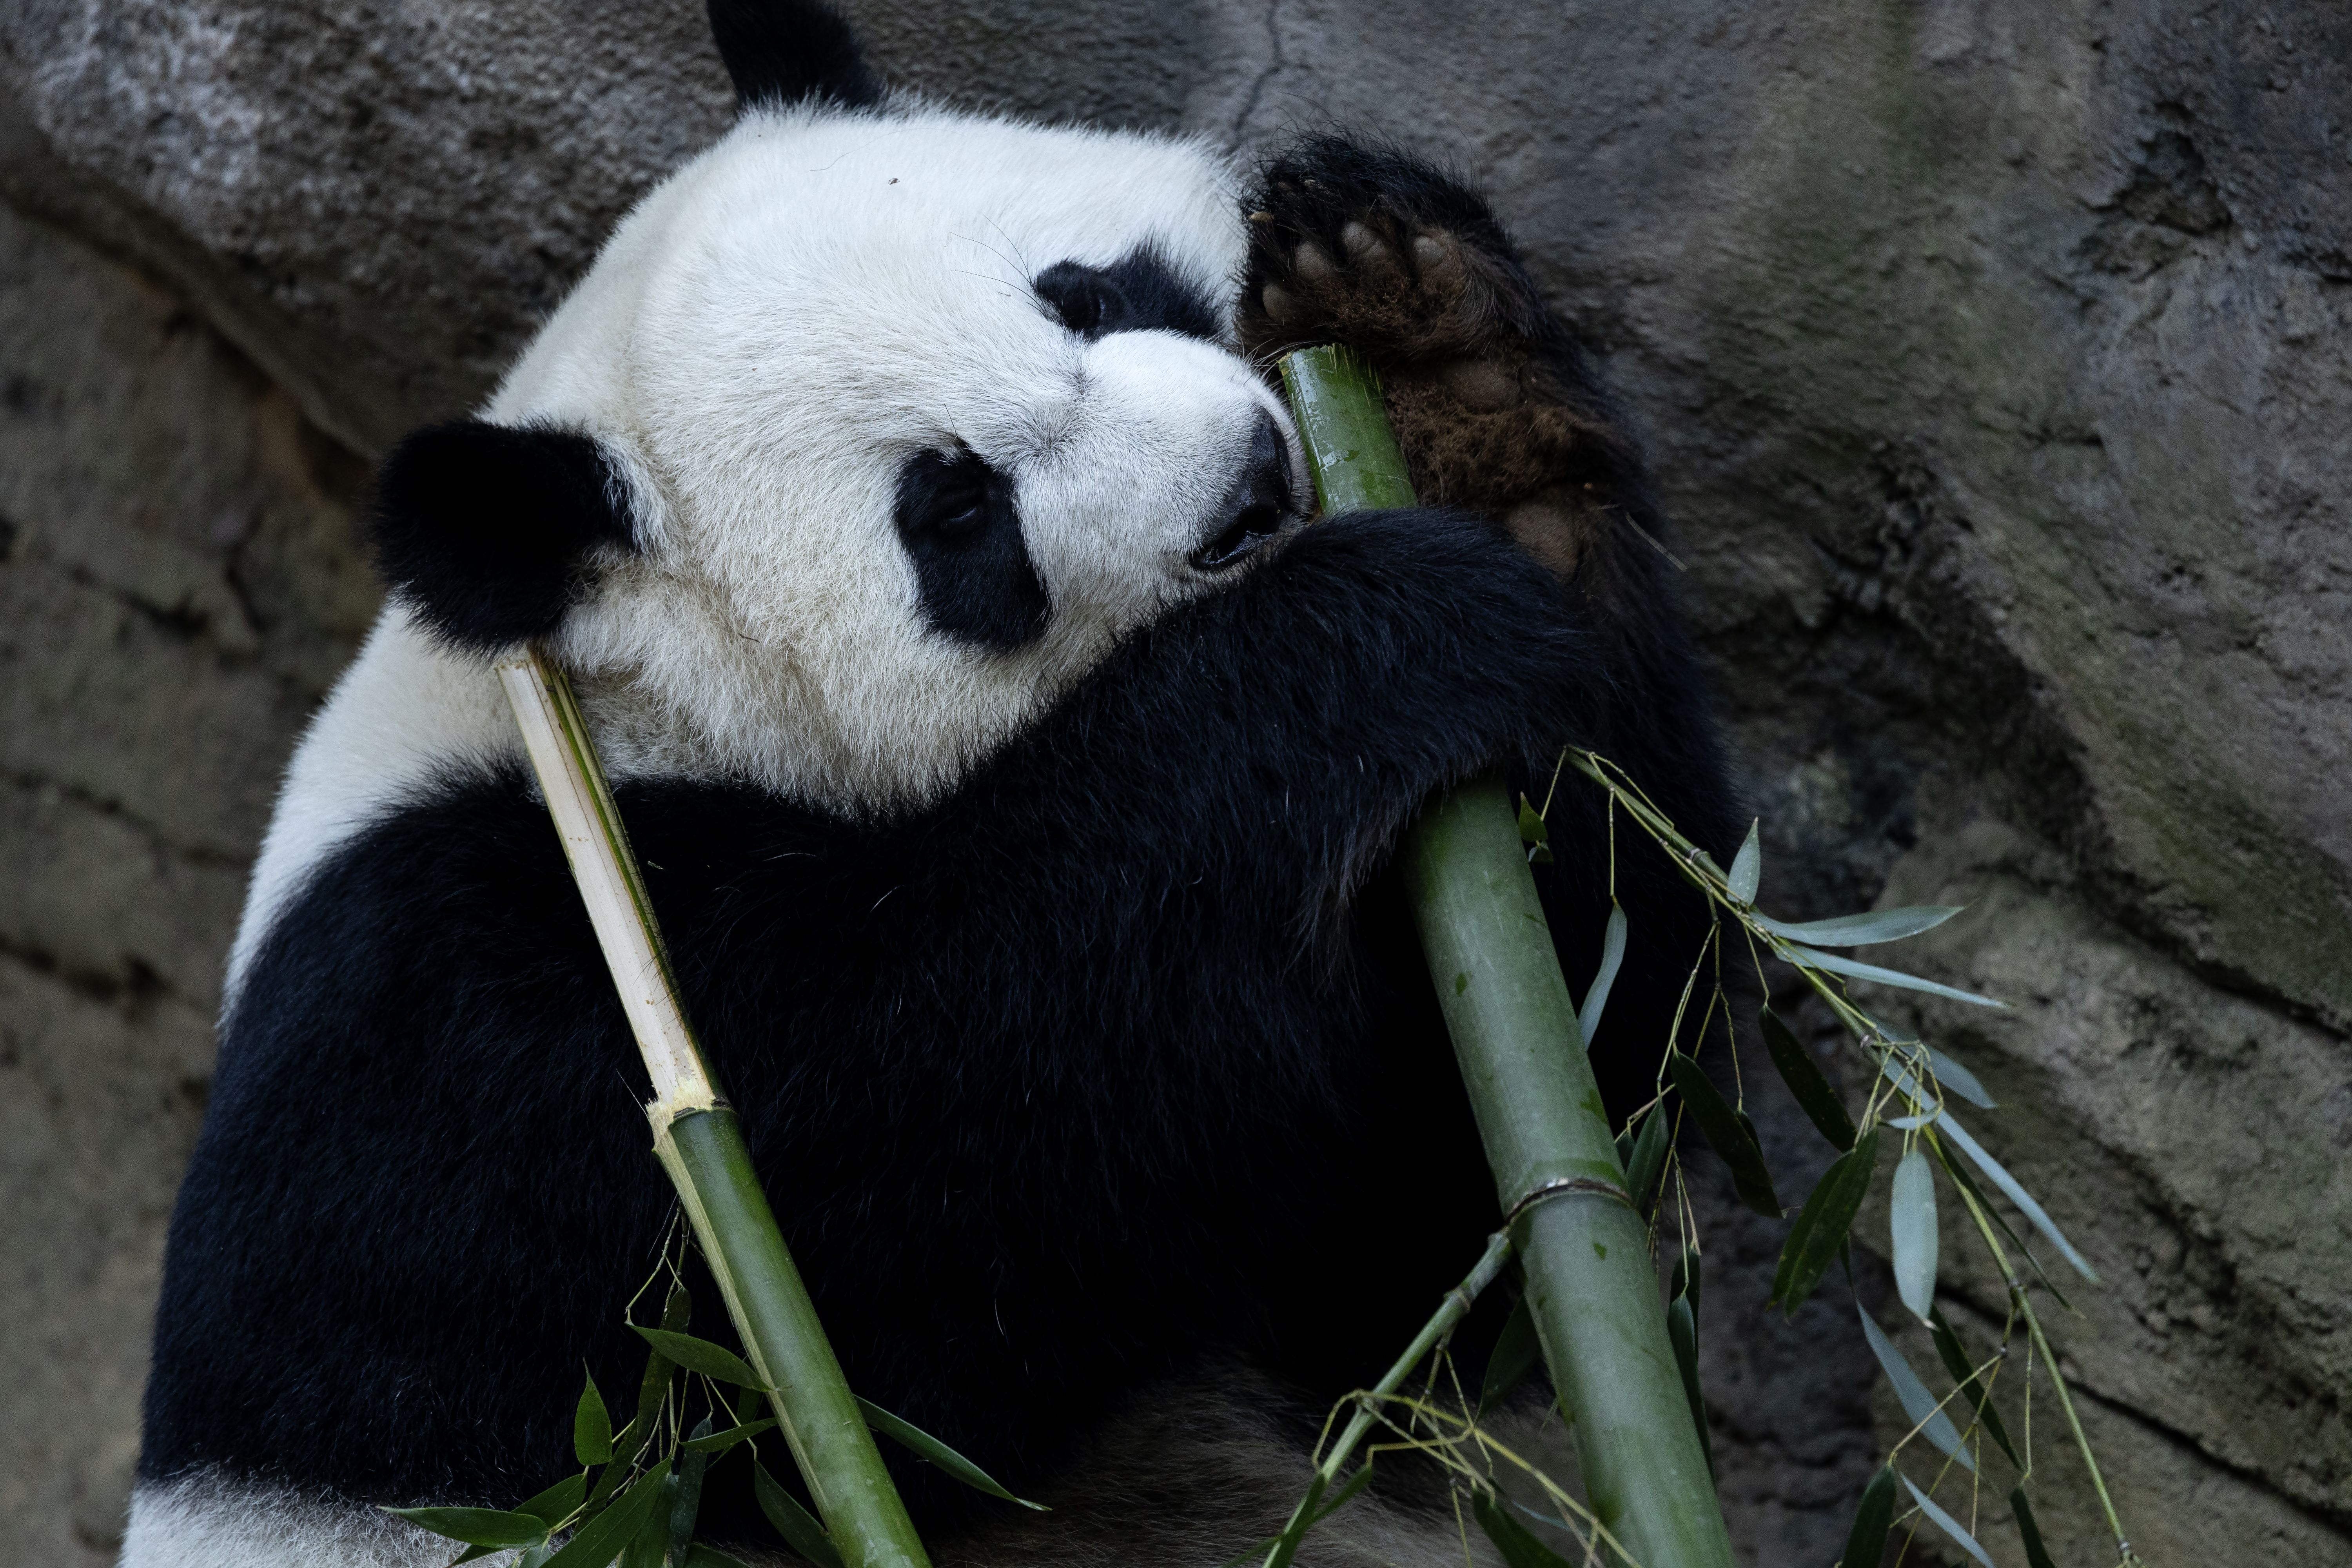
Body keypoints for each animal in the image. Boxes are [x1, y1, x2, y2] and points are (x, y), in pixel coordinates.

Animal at [126, 2, 1738, 1564]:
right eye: (954, 510)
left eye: (1086, 294)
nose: (1246, 486)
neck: (608, 702)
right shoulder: (472, 1026)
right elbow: (918, 1207)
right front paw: (1360, 639)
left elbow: (1455, 1220)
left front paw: (1436, 360)